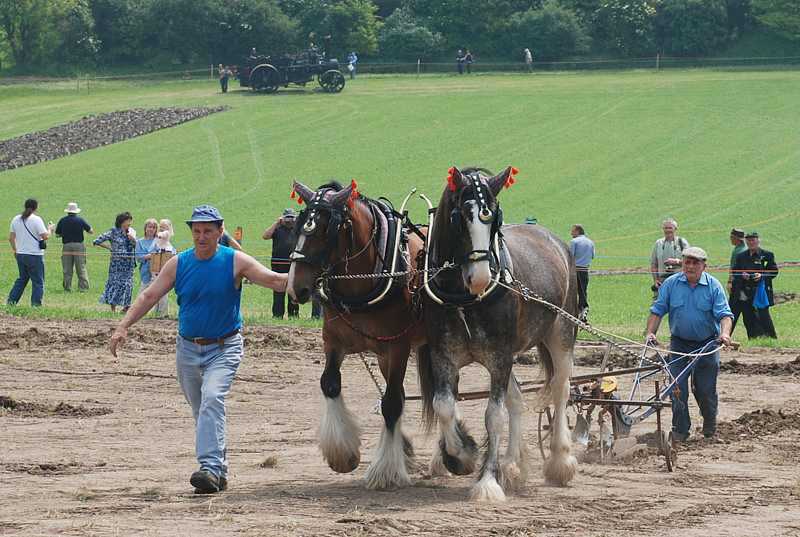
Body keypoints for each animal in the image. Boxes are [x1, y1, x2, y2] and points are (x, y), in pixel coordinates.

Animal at [286, 180, 428, 490]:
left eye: (324, 230)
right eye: (298, 226)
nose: (295, 288)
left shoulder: (398, 347)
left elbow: (391, 404)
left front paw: (386, 470)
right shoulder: (334, 342)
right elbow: (329, 383)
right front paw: (343, 454)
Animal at [416, 165, 580, 500]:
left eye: (495, 217)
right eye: (460, 216)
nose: (481, 277)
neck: (464, 299)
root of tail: (554, 240)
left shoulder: (499, 357)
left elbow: (494, 416)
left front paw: (487, 481)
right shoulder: (443, 355)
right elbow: (445, 406)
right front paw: (462, 454)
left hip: (560, 332)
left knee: (560, 388)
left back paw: (560, 461)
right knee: (516, 400)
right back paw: (512, 466)